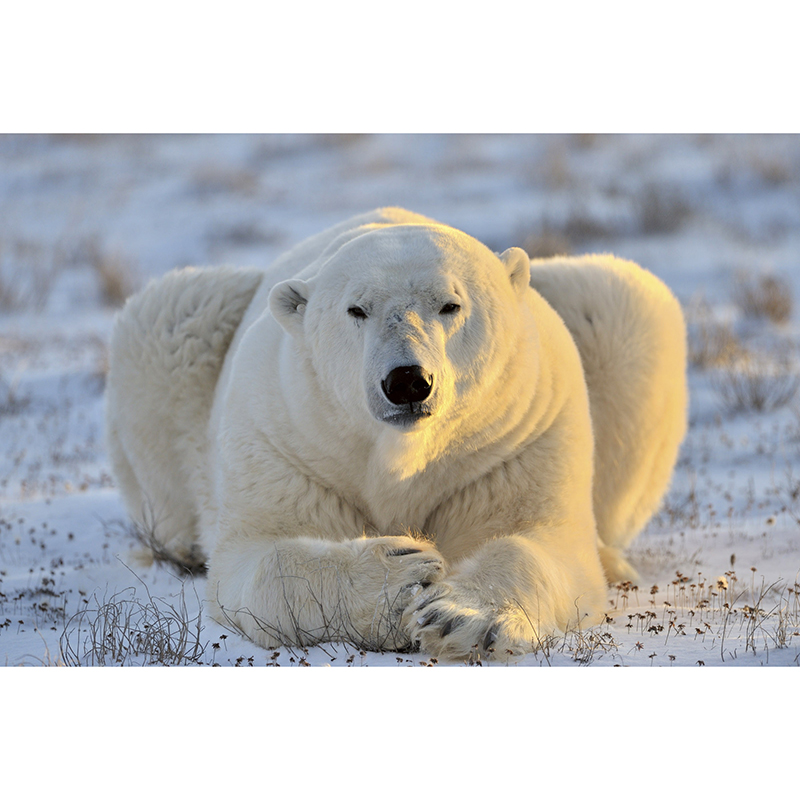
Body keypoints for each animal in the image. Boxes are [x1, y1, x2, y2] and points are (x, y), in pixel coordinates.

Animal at [105, 207, 687, 660]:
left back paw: (615, 561)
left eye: (451, 304)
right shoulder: (285, 437)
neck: (403, 458)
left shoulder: (519, 438)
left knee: (620, 300)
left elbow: (541, 540)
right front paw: (401, 578)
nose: (407, 380)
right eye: (356, 309)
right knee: (170, 316)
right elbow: (258, 556)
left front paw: (459, 618)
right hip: (180, 340)